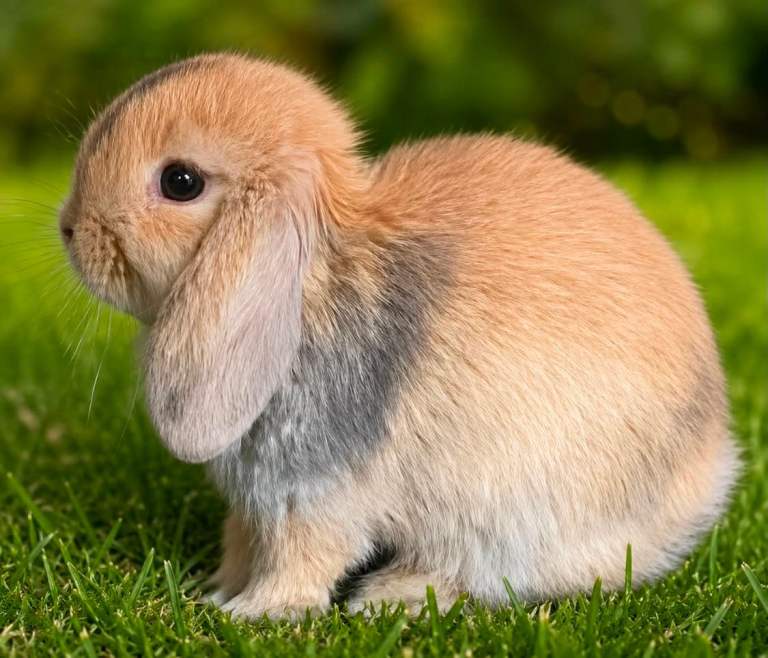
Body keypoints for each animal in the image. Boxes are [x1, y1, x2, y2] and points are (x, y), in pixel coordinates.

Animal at [59, 53, 739, 619]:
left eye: (180, 182)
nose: (69, 228)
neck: (310, 288)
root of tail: (705, 477)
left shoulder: (311, 496)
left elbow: (301, 559)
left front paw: (252, 613)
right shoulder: (256, 503)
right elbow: (240, 540)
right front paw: (216, 590)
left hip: (502, 514)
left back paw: (390, 597)